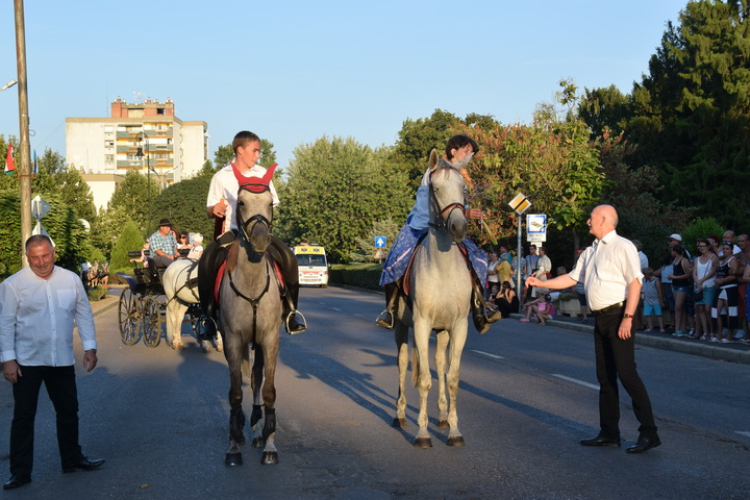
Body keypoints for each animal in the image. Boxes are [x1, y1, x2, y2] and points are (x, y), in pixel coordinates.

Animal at [394, 149, 470, 450]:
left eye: (463, 188)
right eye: (435, 188)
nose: (458, 227)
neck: (443, 268)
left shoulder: (459, 326)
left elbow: (452, 378)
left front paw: (454, 430)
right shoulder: (422, 324)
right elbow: (424, 379)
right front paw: (422, 434)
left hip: (443, 331)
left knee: (439, 363)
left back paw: (442, 416)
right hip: (402, 326)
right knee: (403, 362)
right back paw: (401, 415)